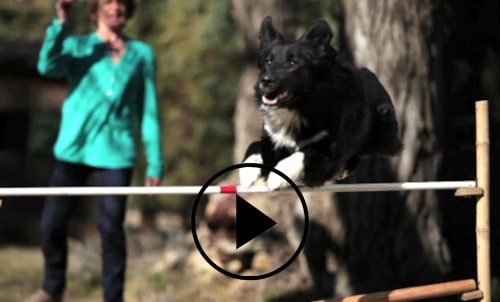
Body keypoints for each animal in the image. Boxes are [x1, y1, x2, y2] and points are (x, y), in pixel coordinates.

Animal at [239, 17, 402, 189]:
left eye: (293, 63)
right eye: (268, 61)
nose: (265, 81)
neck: (298, 108)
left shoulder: (330, 151)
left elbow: (307, 153)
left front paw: (280, 174)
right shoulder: (273, 139)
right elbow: (255, 145)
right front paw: (248, 171)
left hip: (384, 135)